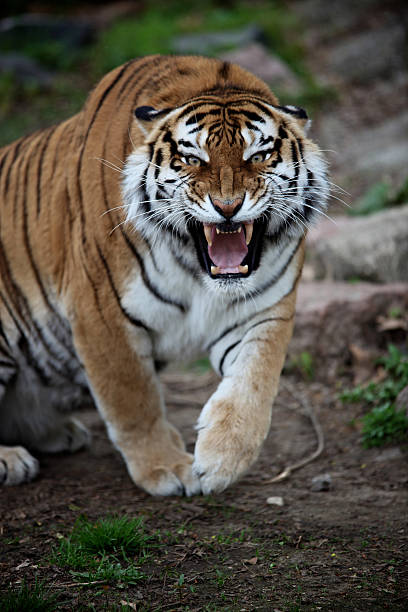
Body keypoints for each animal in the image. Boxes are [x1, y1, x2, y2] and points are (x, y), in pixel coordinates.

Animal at [0, 55, 326, 494]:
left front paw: (221, 459)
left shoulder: (264, 311)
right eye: (193, 159)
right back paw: (12, 459)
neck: (195, 268)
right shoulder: (101, 311)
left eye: (257, 155)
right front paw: (166, 468)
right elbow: (133, 399)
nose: (228, 207)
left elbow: (254, 381)